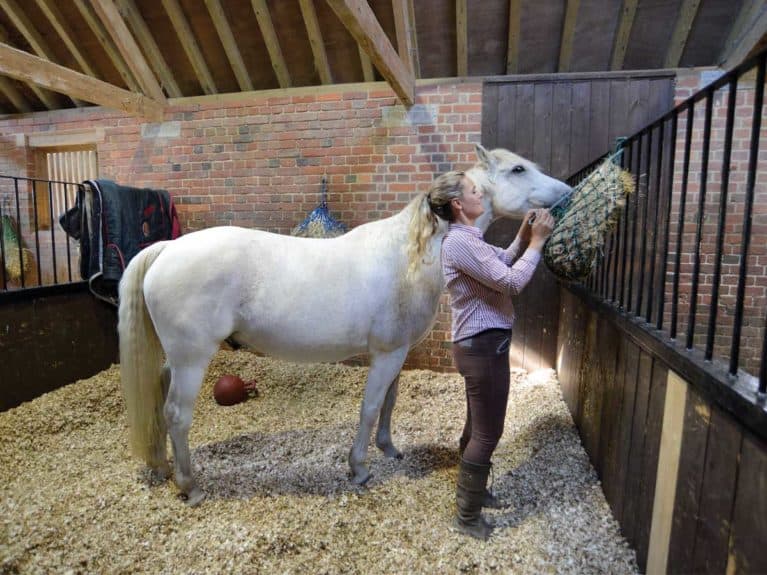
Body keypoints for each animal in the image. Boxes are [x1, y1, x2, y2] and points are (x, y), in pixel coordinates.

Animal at [118, 144, 568, 504]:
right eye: (517, 169)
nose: (565, 193)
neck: (410, 254)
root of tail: (167, 248)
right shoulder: (386, 353)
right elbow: (369, 407)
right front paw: (360, 468)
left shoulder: (398, 352)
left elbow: (389, 401)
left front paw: (388, 449)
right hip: (193, 360)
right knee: (177, 414)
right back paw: (190, 486)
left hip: (177, 359)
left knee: (160, 393)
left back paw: (164, 466)